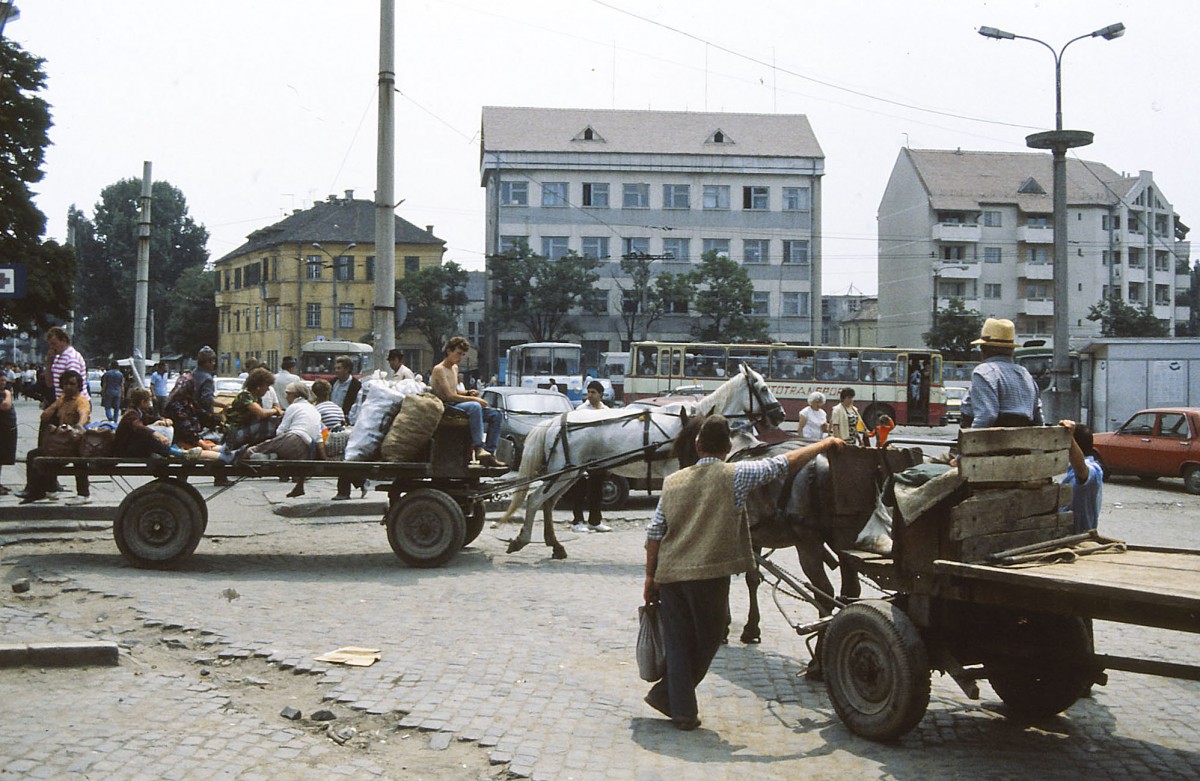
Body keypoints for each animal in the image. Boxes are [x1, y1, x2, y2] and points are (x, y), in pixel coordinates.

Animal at [499, 364, 787, 556]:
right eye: (764, 388)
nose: (781, 415)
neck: (695, 425)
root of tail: (555, 421)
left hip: (569, 474)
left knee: (547, 504)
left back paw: (555, 545)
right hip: (562, 473)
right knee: (534, 500)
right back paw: (522, 540)